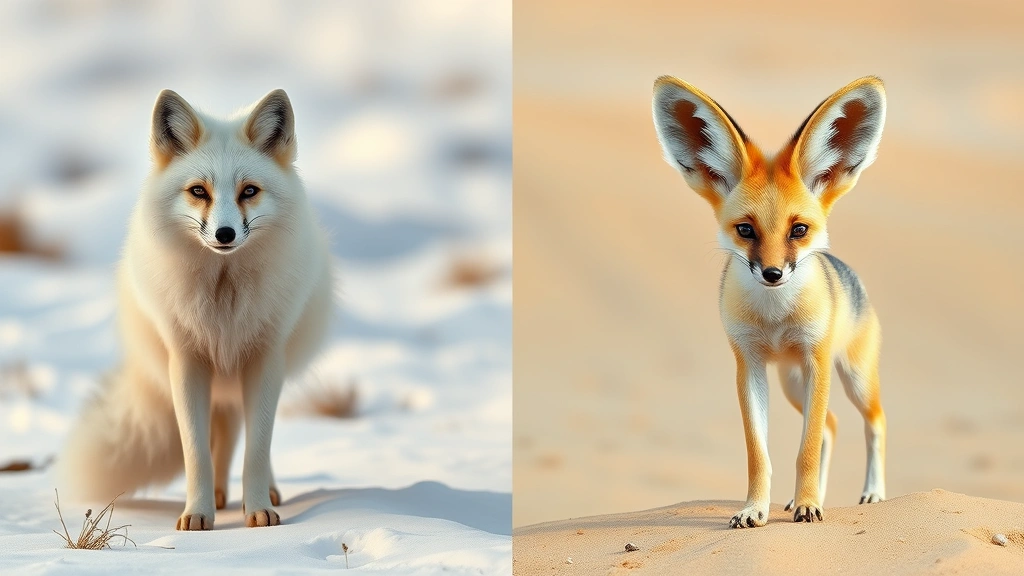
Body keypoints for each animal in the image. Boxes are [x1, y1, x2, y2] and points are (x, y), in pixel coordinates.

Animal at [56, 88, 335, 530]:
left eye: (249, 191)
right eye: (199, 191)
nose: (224, 234)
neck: (223, 301)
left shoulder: (264, 359)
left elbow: (257, 450)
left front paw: (258, 510)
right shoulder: (187, 362)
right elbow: (197, 453)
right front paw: (199, 513)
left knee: (243, 435)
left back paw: (260, 494)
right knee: (223, 435)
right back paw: (219, 496)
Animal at [651, 76, 887, 528]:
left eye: (798, 230)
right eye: (746, 230)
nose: (773, 274)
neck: (775, 319)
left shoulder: (816, 361)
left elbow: (805, 451)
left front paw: (810, 505)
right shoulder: (749, 365)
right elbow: (759, 455)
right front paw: (755, 509)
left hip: (852, 378)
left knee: (875, 423)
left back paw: (873, 493)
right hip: (792, 383)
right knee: (831, 425)